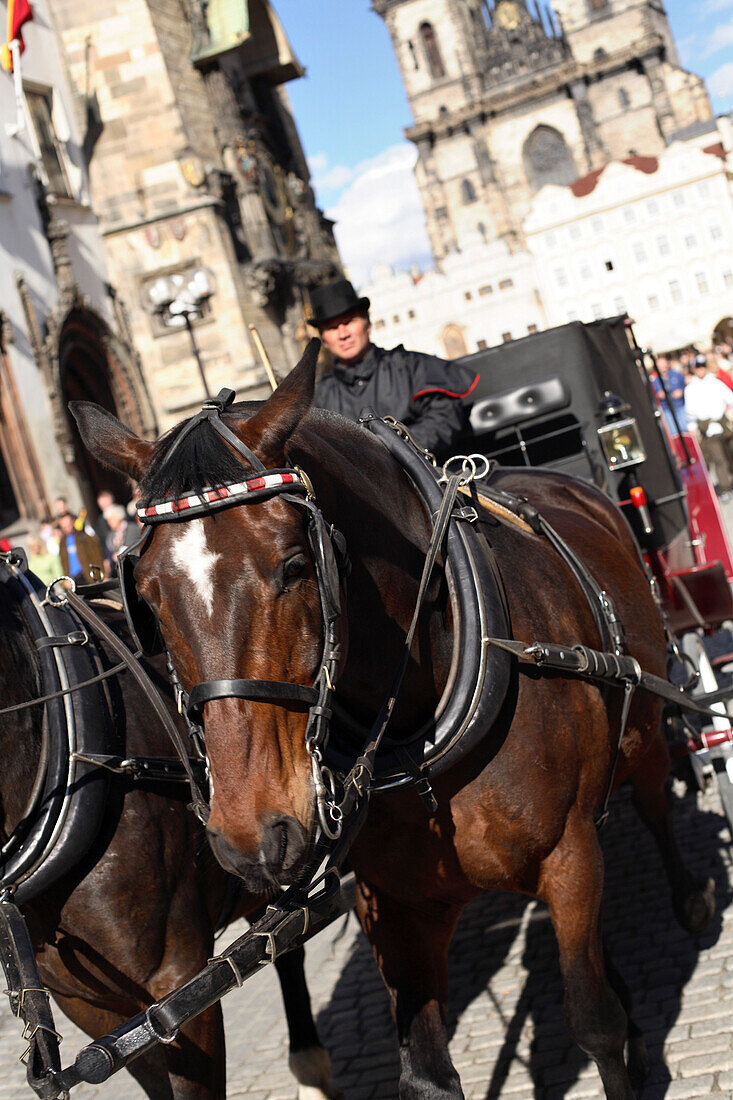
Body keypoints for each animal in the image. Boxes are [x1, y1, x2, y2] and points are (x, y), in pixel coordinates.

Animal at [74, 338, 713, 1095]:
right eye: (143, 597)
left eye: (295, 564)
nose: (249, 835)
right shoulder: (395, 906)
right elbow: (427, 1074)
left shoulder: (569, 857)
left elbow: (595, 1024)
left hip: (644, 714)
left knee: (653, 793)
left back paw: (691, 895)